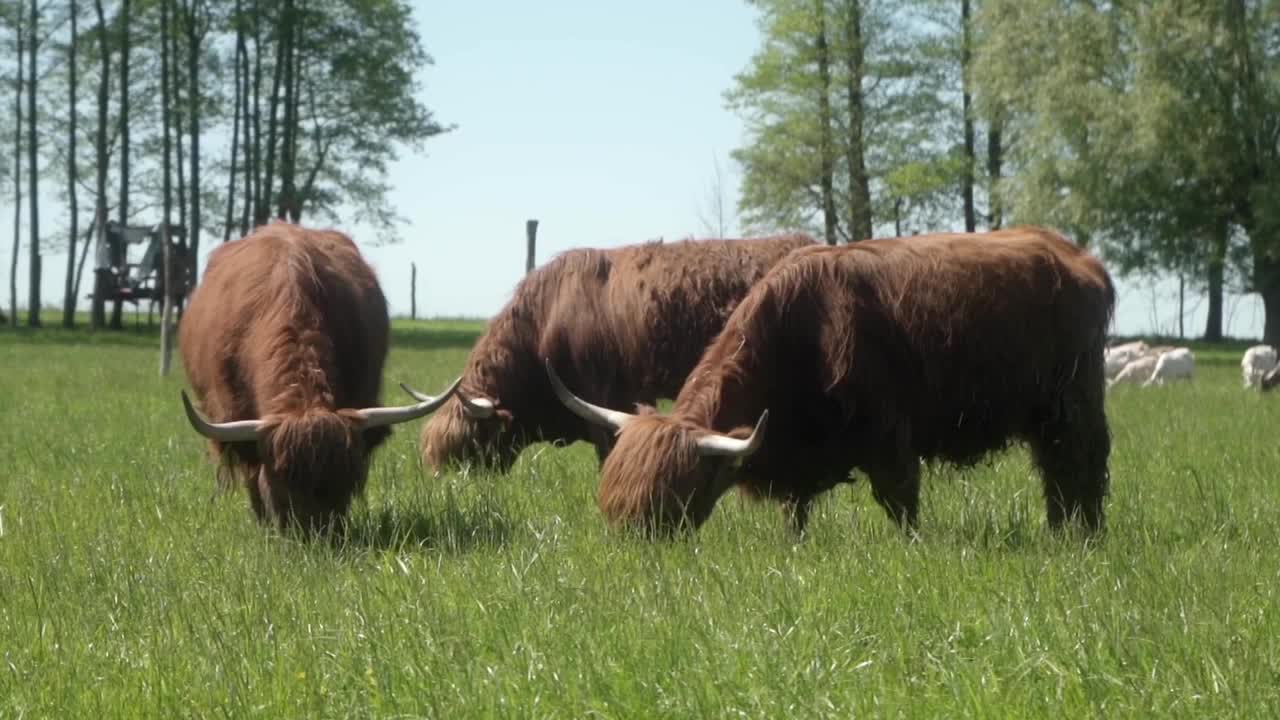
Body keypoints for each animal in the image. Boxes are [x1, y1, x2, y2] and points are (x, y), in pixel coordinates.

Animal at [550, 226, 1121, 535]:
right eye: (613, 505)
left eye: (670, 501)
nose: (632, 552)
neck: (801, 328)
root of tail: (1078, 256)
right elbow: (795, 512)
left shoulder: (889, 435)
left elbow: (901, 504)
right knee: (1056, 474)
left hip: (1074, 404)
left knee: (1082, 469)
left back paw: (1083, 538)